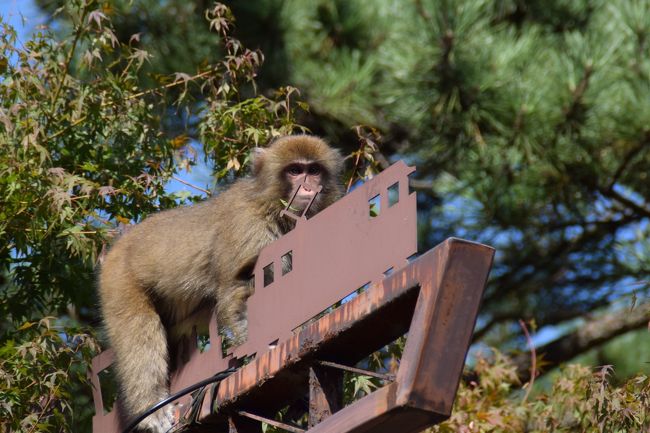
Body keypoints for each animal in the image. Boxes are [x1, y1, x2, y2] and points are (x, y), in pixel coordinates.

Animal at [98, 135, 342, 432]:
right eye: (295, 170)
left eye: (314, 170)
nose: (308, 187)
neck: (273, 206)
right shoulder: (249, 227)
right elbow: (239, 290)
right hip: (119, 282)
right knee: (139, 332)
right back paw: (151, 408)